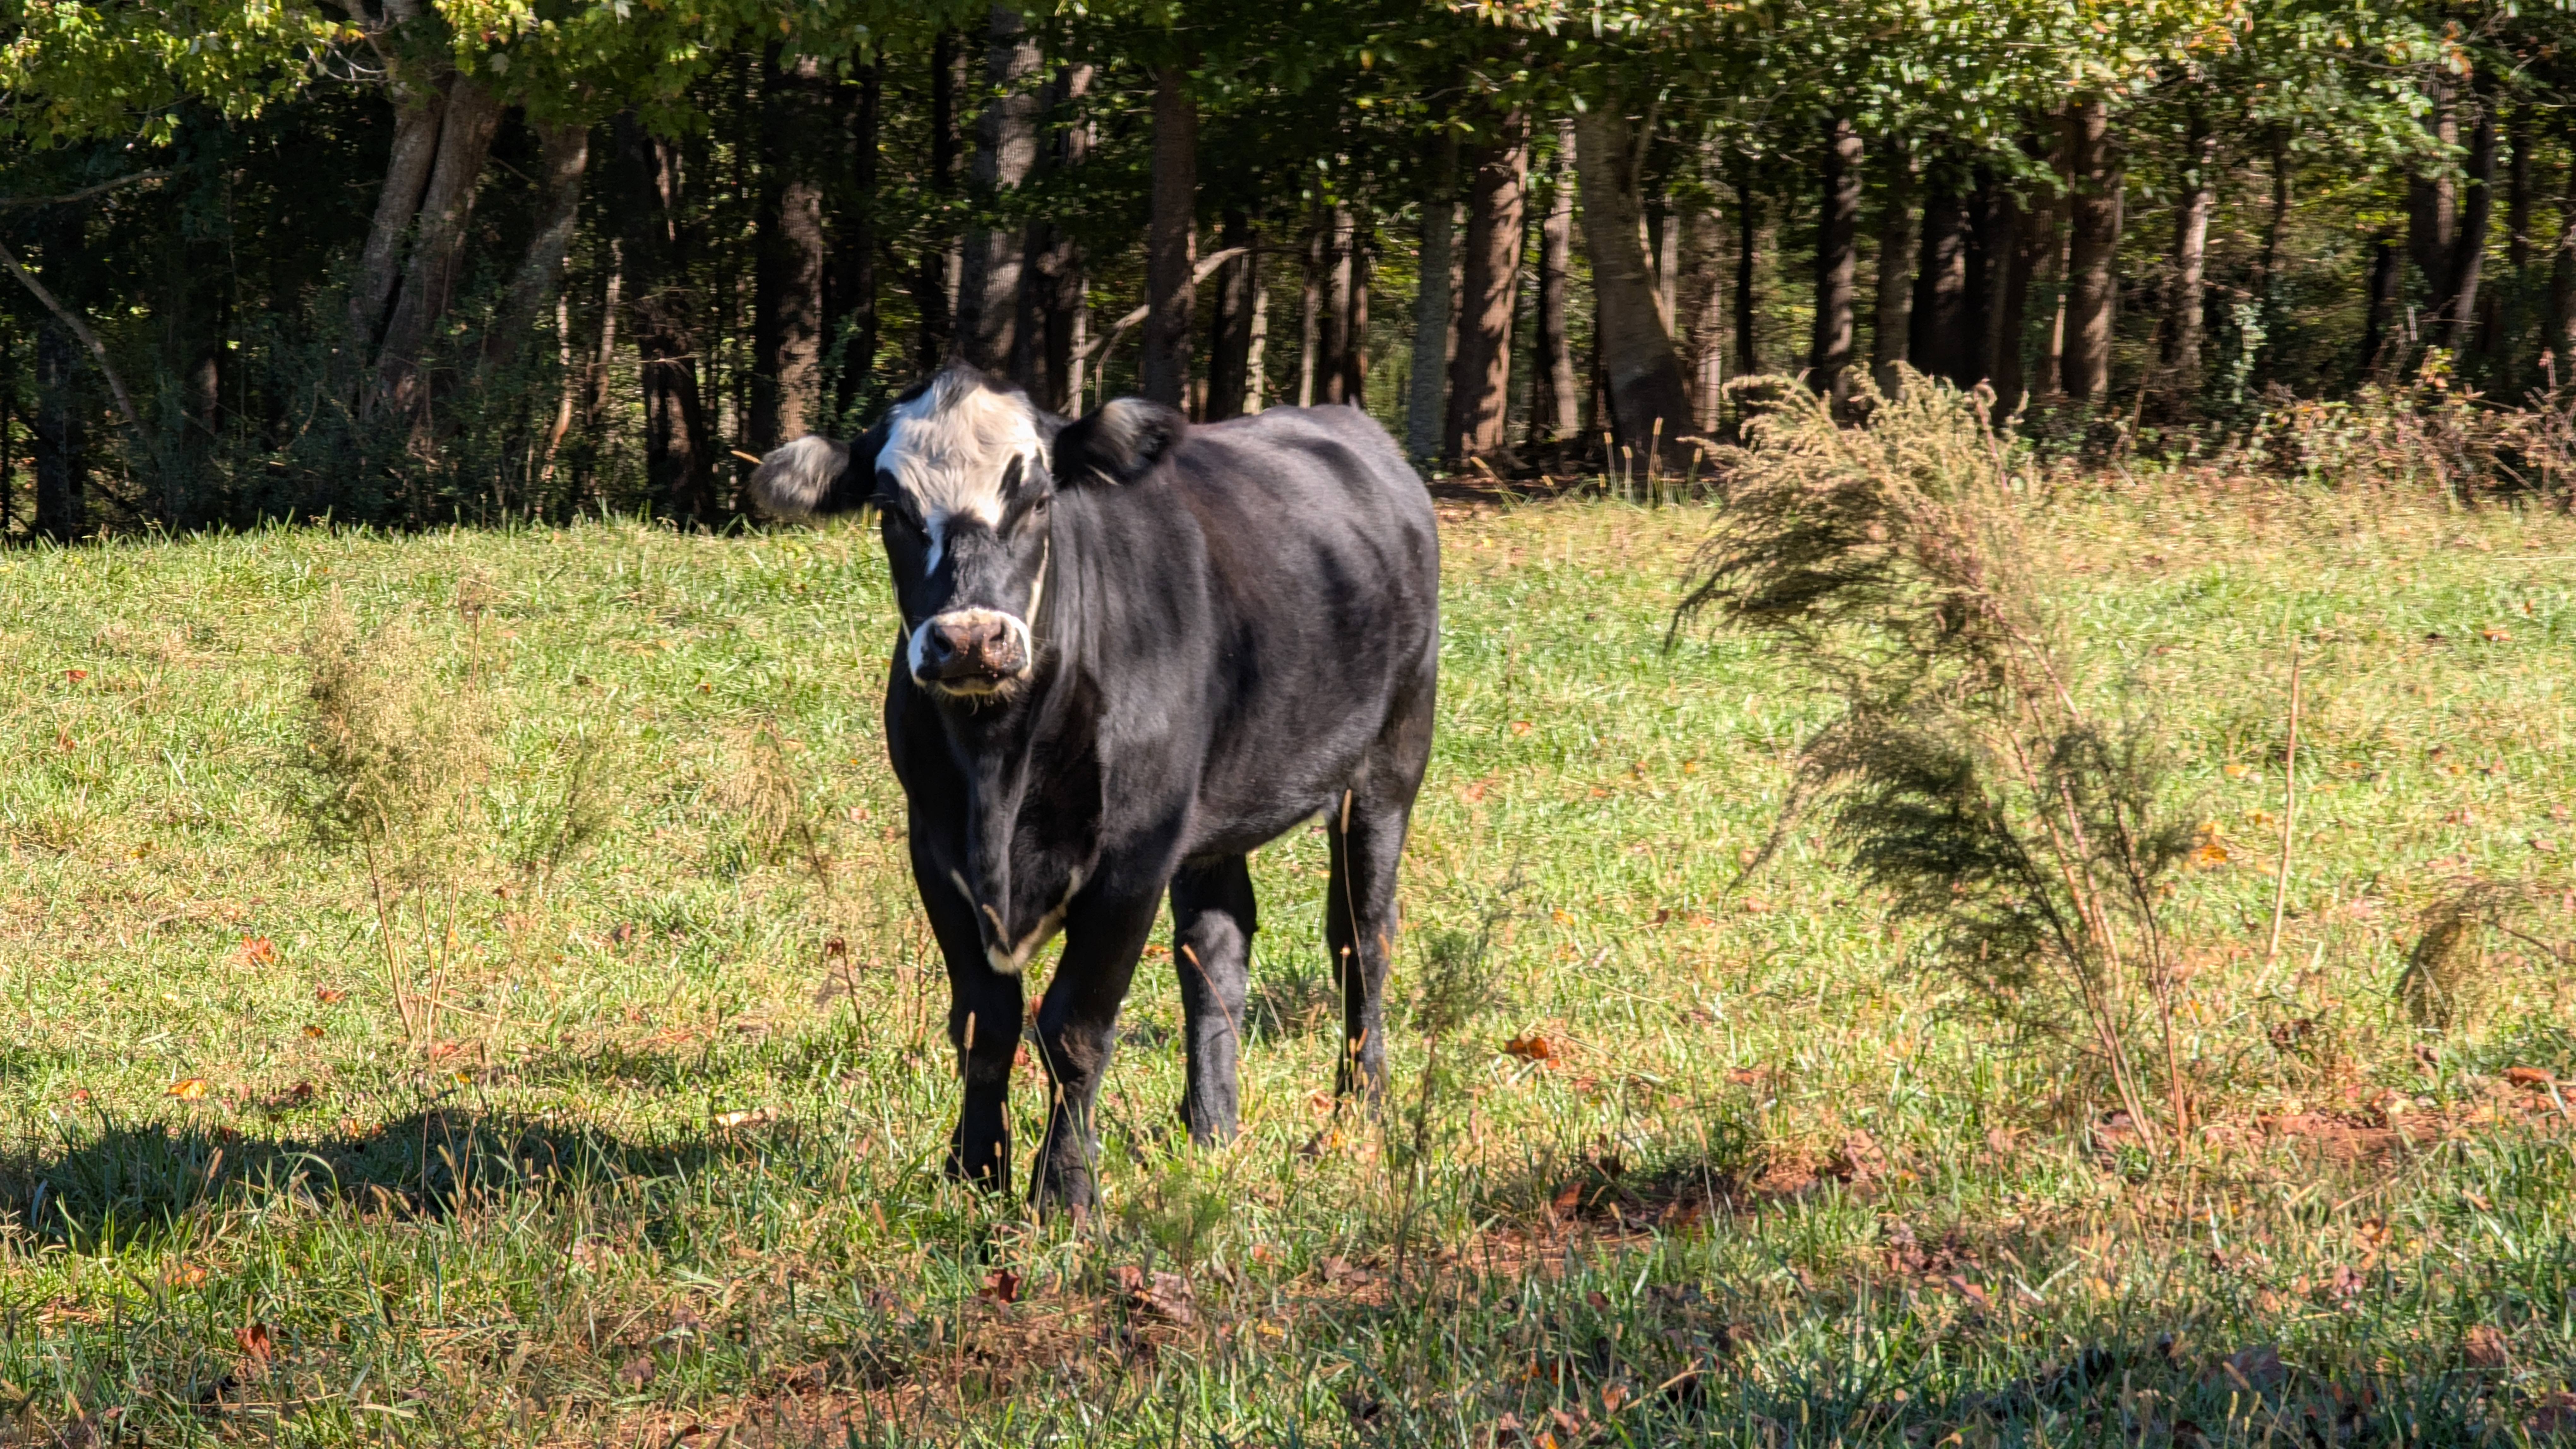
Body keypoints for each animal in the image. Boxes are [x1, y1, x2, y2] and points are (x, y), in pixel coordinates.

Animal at [749, 366, 1439, 1211]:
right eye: (892, 509)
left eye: (1039, 498)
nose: (970, 640)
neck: (999, 768)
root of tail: (1350, 425)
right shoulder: (934, 849)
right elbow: (984, 1022)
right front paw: (973, 1176)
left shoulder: (1132, 857)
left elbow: (1074, 1030)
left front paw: (1063, 1196)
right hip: (1210, 810)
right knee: (1215, 947)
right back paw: (1211, 1127)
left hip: (1388, 762)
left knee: (1361, 937)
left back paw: (1353, 1118)